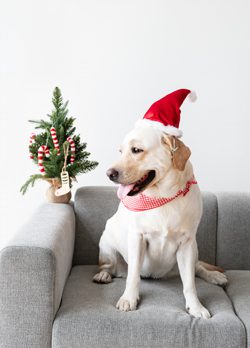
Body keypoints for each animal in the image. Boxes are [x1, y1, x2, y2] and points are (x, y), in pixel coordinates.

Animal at [93, 89, 228, 318]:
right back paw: (103, 275)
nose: (109, 173)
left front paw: (196, 307)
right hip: (107, 241)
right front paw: (129, 299)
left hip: (194, 250)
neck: (163, 196)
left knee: (198, 268)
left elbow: (190, 284)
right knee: (110, 266)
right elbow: (133, 276)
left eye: (136, 150)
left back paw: (215, 276)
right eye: (121, 151)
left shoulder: (187, 244)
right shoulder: (137, 237)